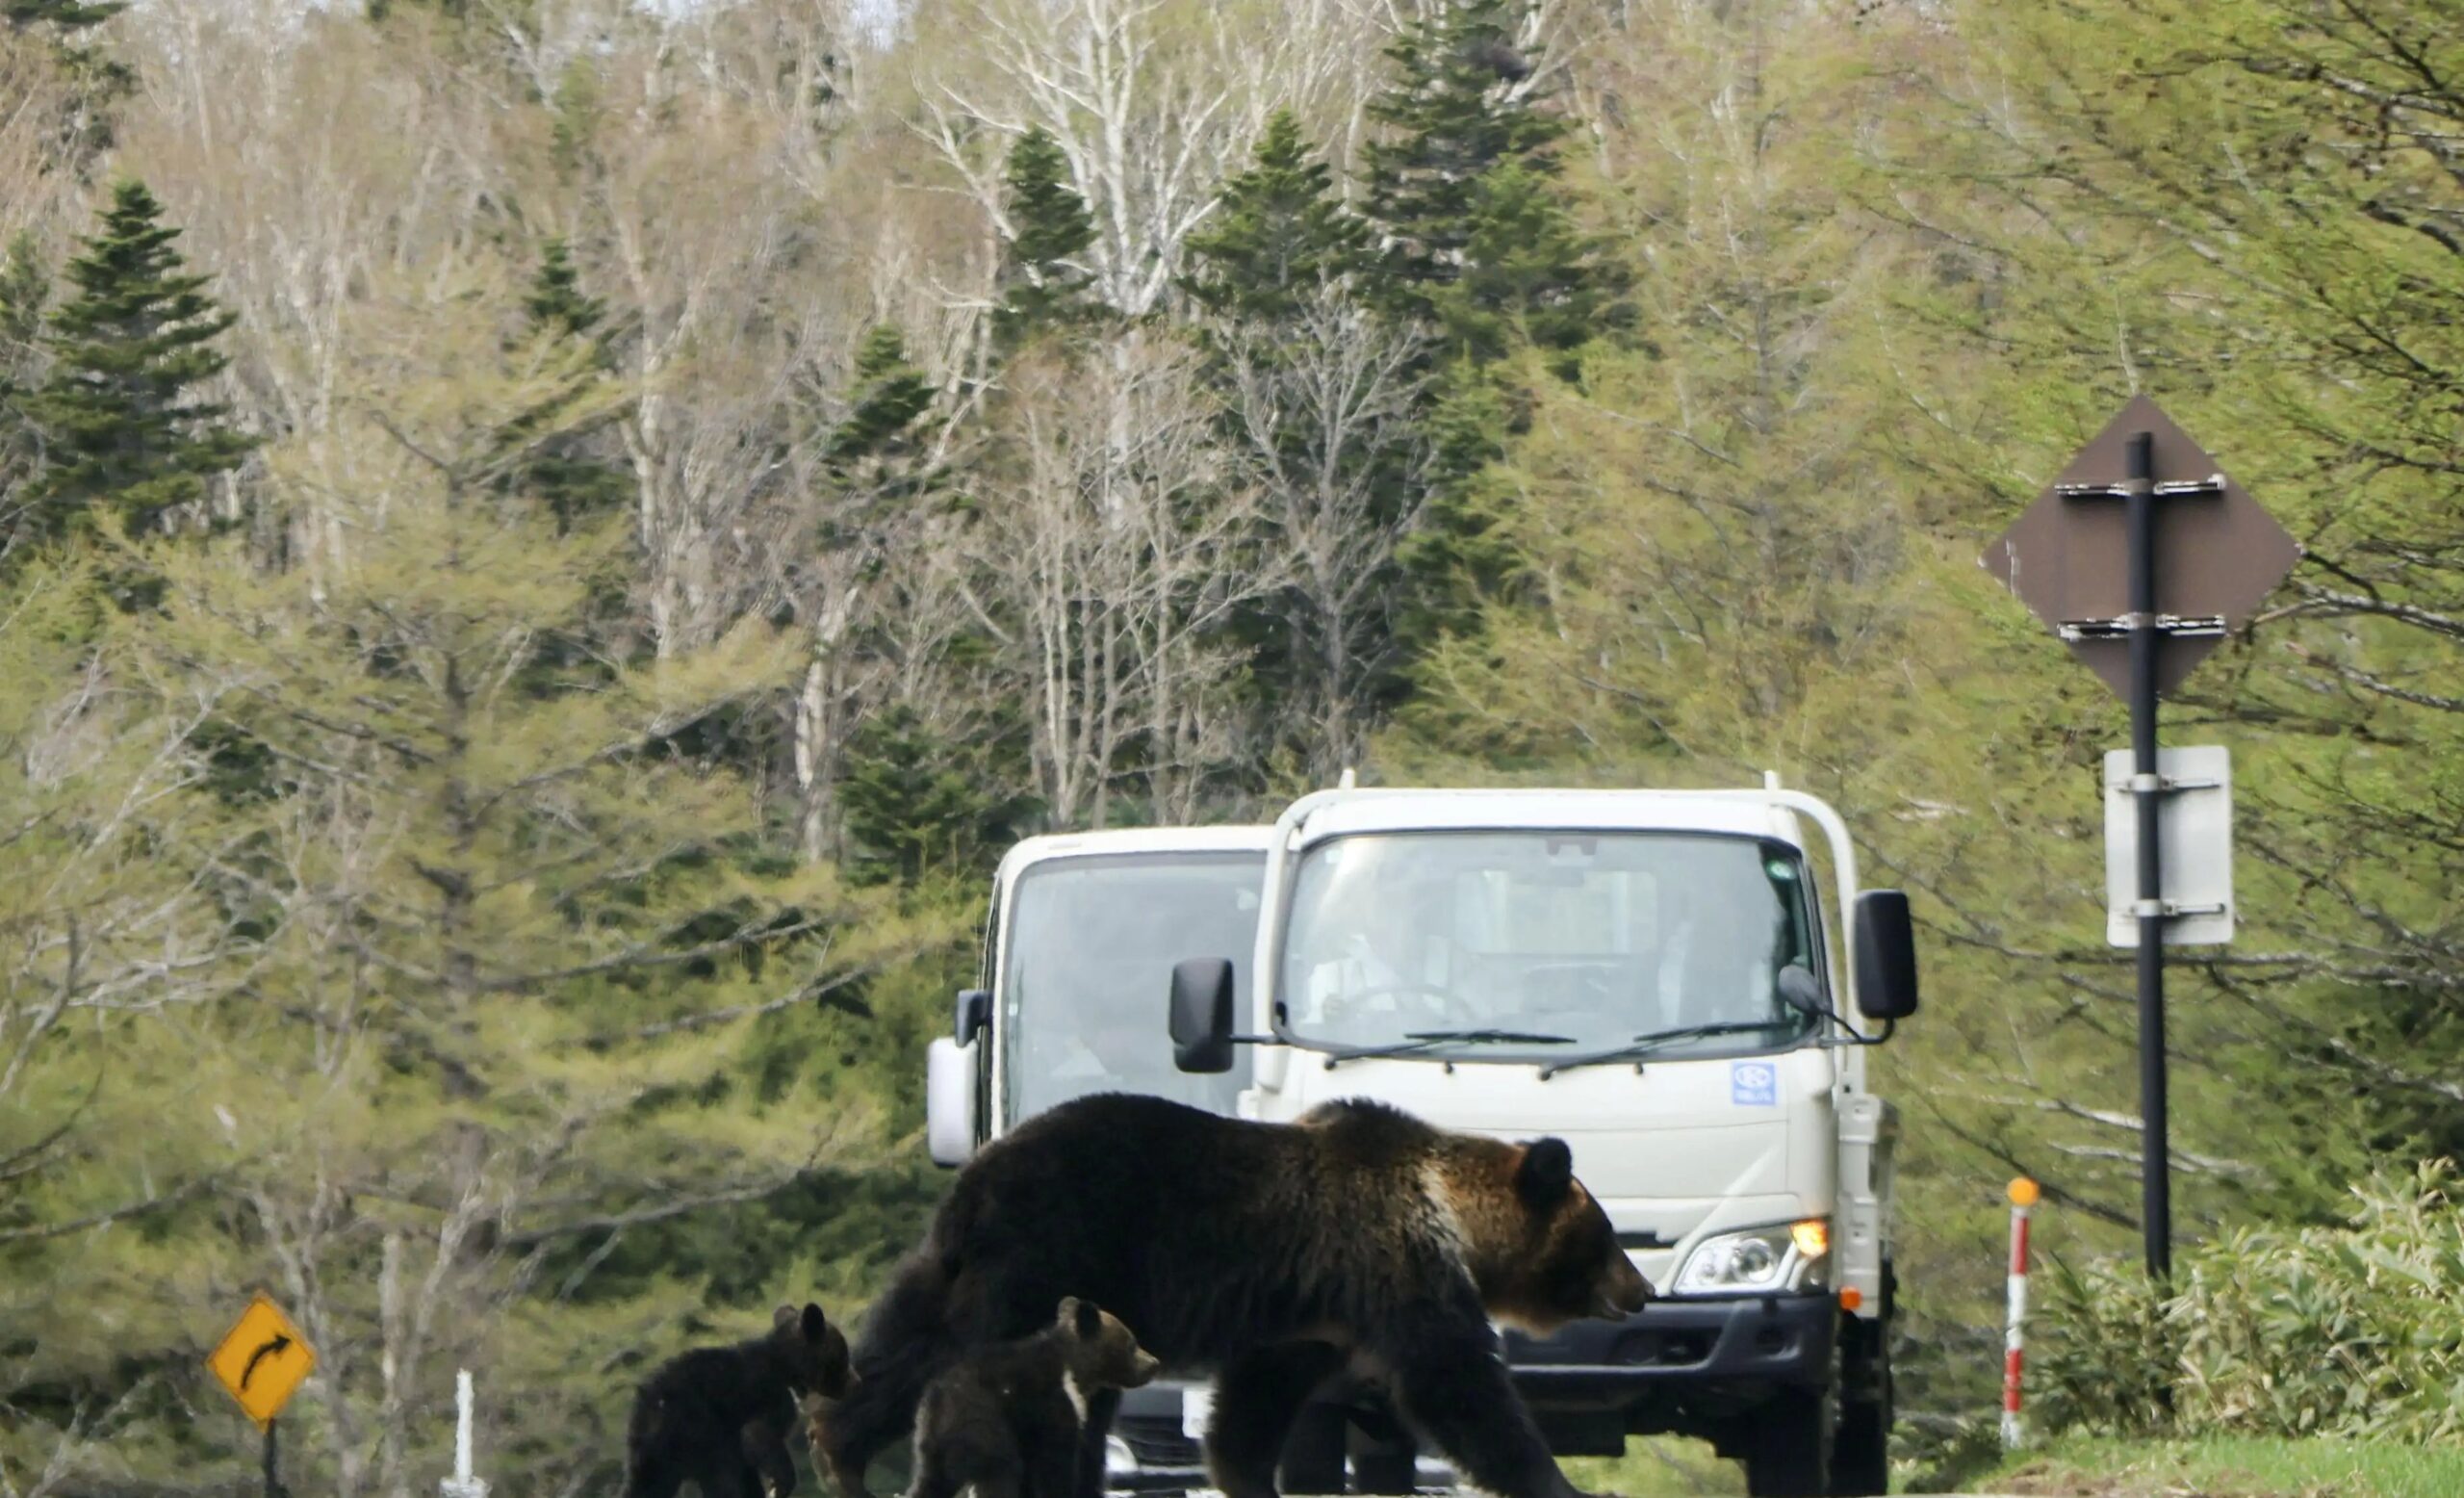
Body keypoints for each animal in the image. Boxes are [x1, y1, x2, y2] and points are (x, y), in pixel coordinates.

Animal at [625, 1302, 855, 1498]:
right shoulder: (768, 1396)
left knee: (648, 1485)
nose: (854, 1382)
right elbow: (757, 1435)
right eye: (843, 1356)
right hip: (695, 1425)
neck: (785, 1366)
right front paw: (780, 1483)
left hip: (649, 1455)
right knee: (721, 1473)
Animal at [904, 1297, 1163, 1498]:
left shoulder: (1027, 1427)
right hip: (981, 1422)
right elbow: (1054, 1462)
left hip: (932, 1445)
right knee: (1001, 1471)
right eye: (1132, 1343)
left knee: (931, 1482)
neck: (1076, 1371)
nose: (1153, 1363)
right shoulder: (1051, 1404)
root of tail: (937, 1397)